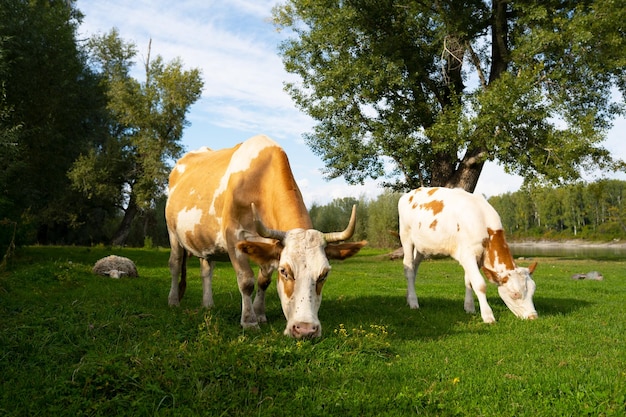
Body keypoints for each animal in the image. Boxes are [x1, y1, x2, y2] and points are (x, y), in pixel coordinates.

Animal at [165, 135, 366, 336]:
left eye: (324, 274)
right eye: (284, 271)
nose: (305, 329)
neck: (259, 181)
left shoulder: (270, 246)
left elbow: (264, 281)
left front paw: (260, 314)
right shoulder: (233, 237)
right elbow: (246, 280)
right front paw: (249, 321)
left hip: (204, 241)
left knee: (206, 269)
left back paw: (208, 304)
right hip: (173, 233)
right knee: (175, 264)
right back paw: (173, 301)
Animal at [398, 186, 532, 322]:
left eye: (533, 290)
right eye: (515, 294)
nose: (533, 316)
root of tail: (411, 193)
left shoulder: (475, 256)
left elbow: (469, 282)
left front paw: (469, 308)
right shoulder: (468, 255)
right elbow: (479, 284)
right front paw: (488, 316)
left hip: (421, 247)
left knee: (414, 268)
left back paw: (408, 298)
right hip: (406, 236)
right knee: (408, 268)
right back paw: (413, 303)